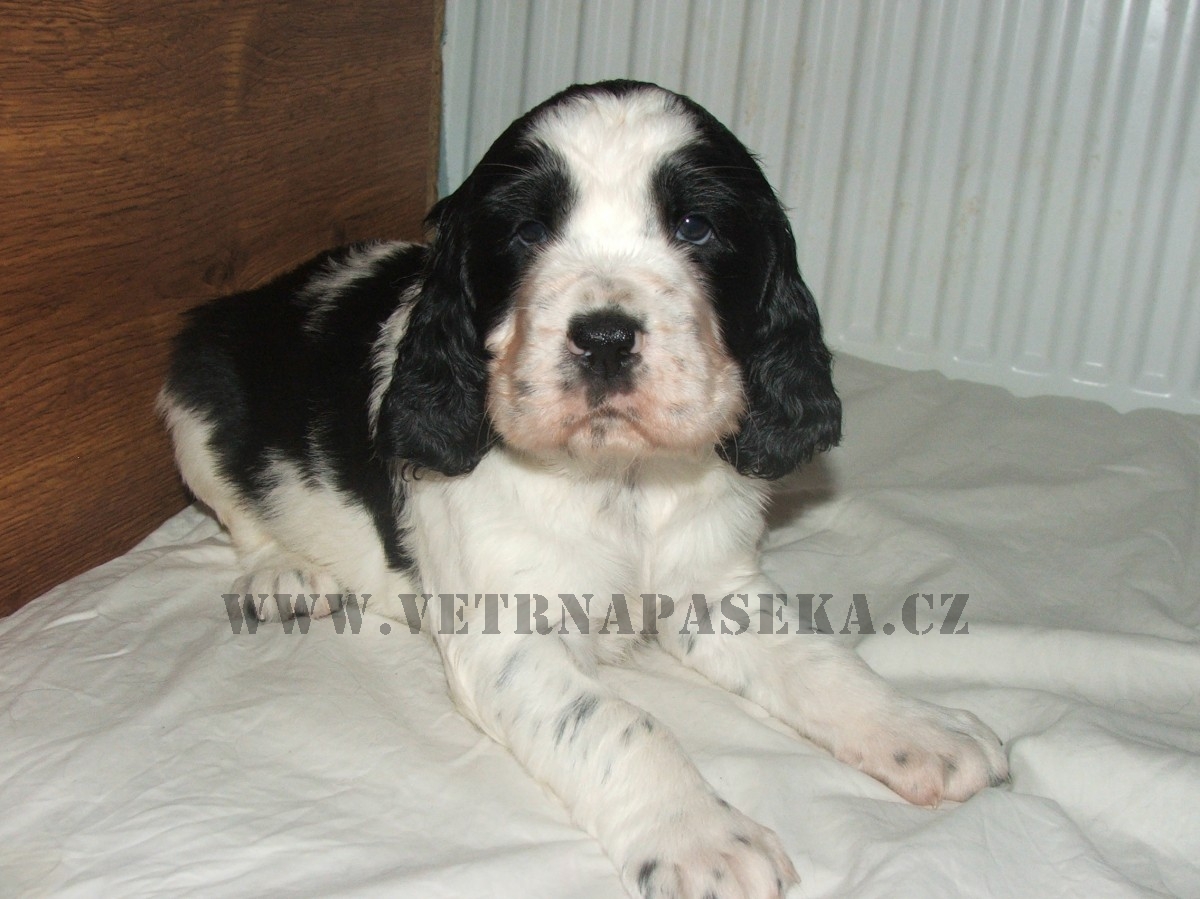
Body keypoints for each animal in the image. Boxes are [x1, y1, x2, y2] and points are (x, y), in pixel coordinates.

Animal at [160, 80, 1007, 899]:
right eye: (527, 234)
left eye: (695, 227)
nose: (603, 338)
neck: (618, 475)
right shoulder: (509, 637)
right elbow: (623, 723)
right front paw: (703, 838)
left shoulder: (714, 586)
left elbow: (819, 658)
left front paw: (923, 728)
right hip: (193, 392)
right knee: (237, 504)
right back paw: (282, 572)